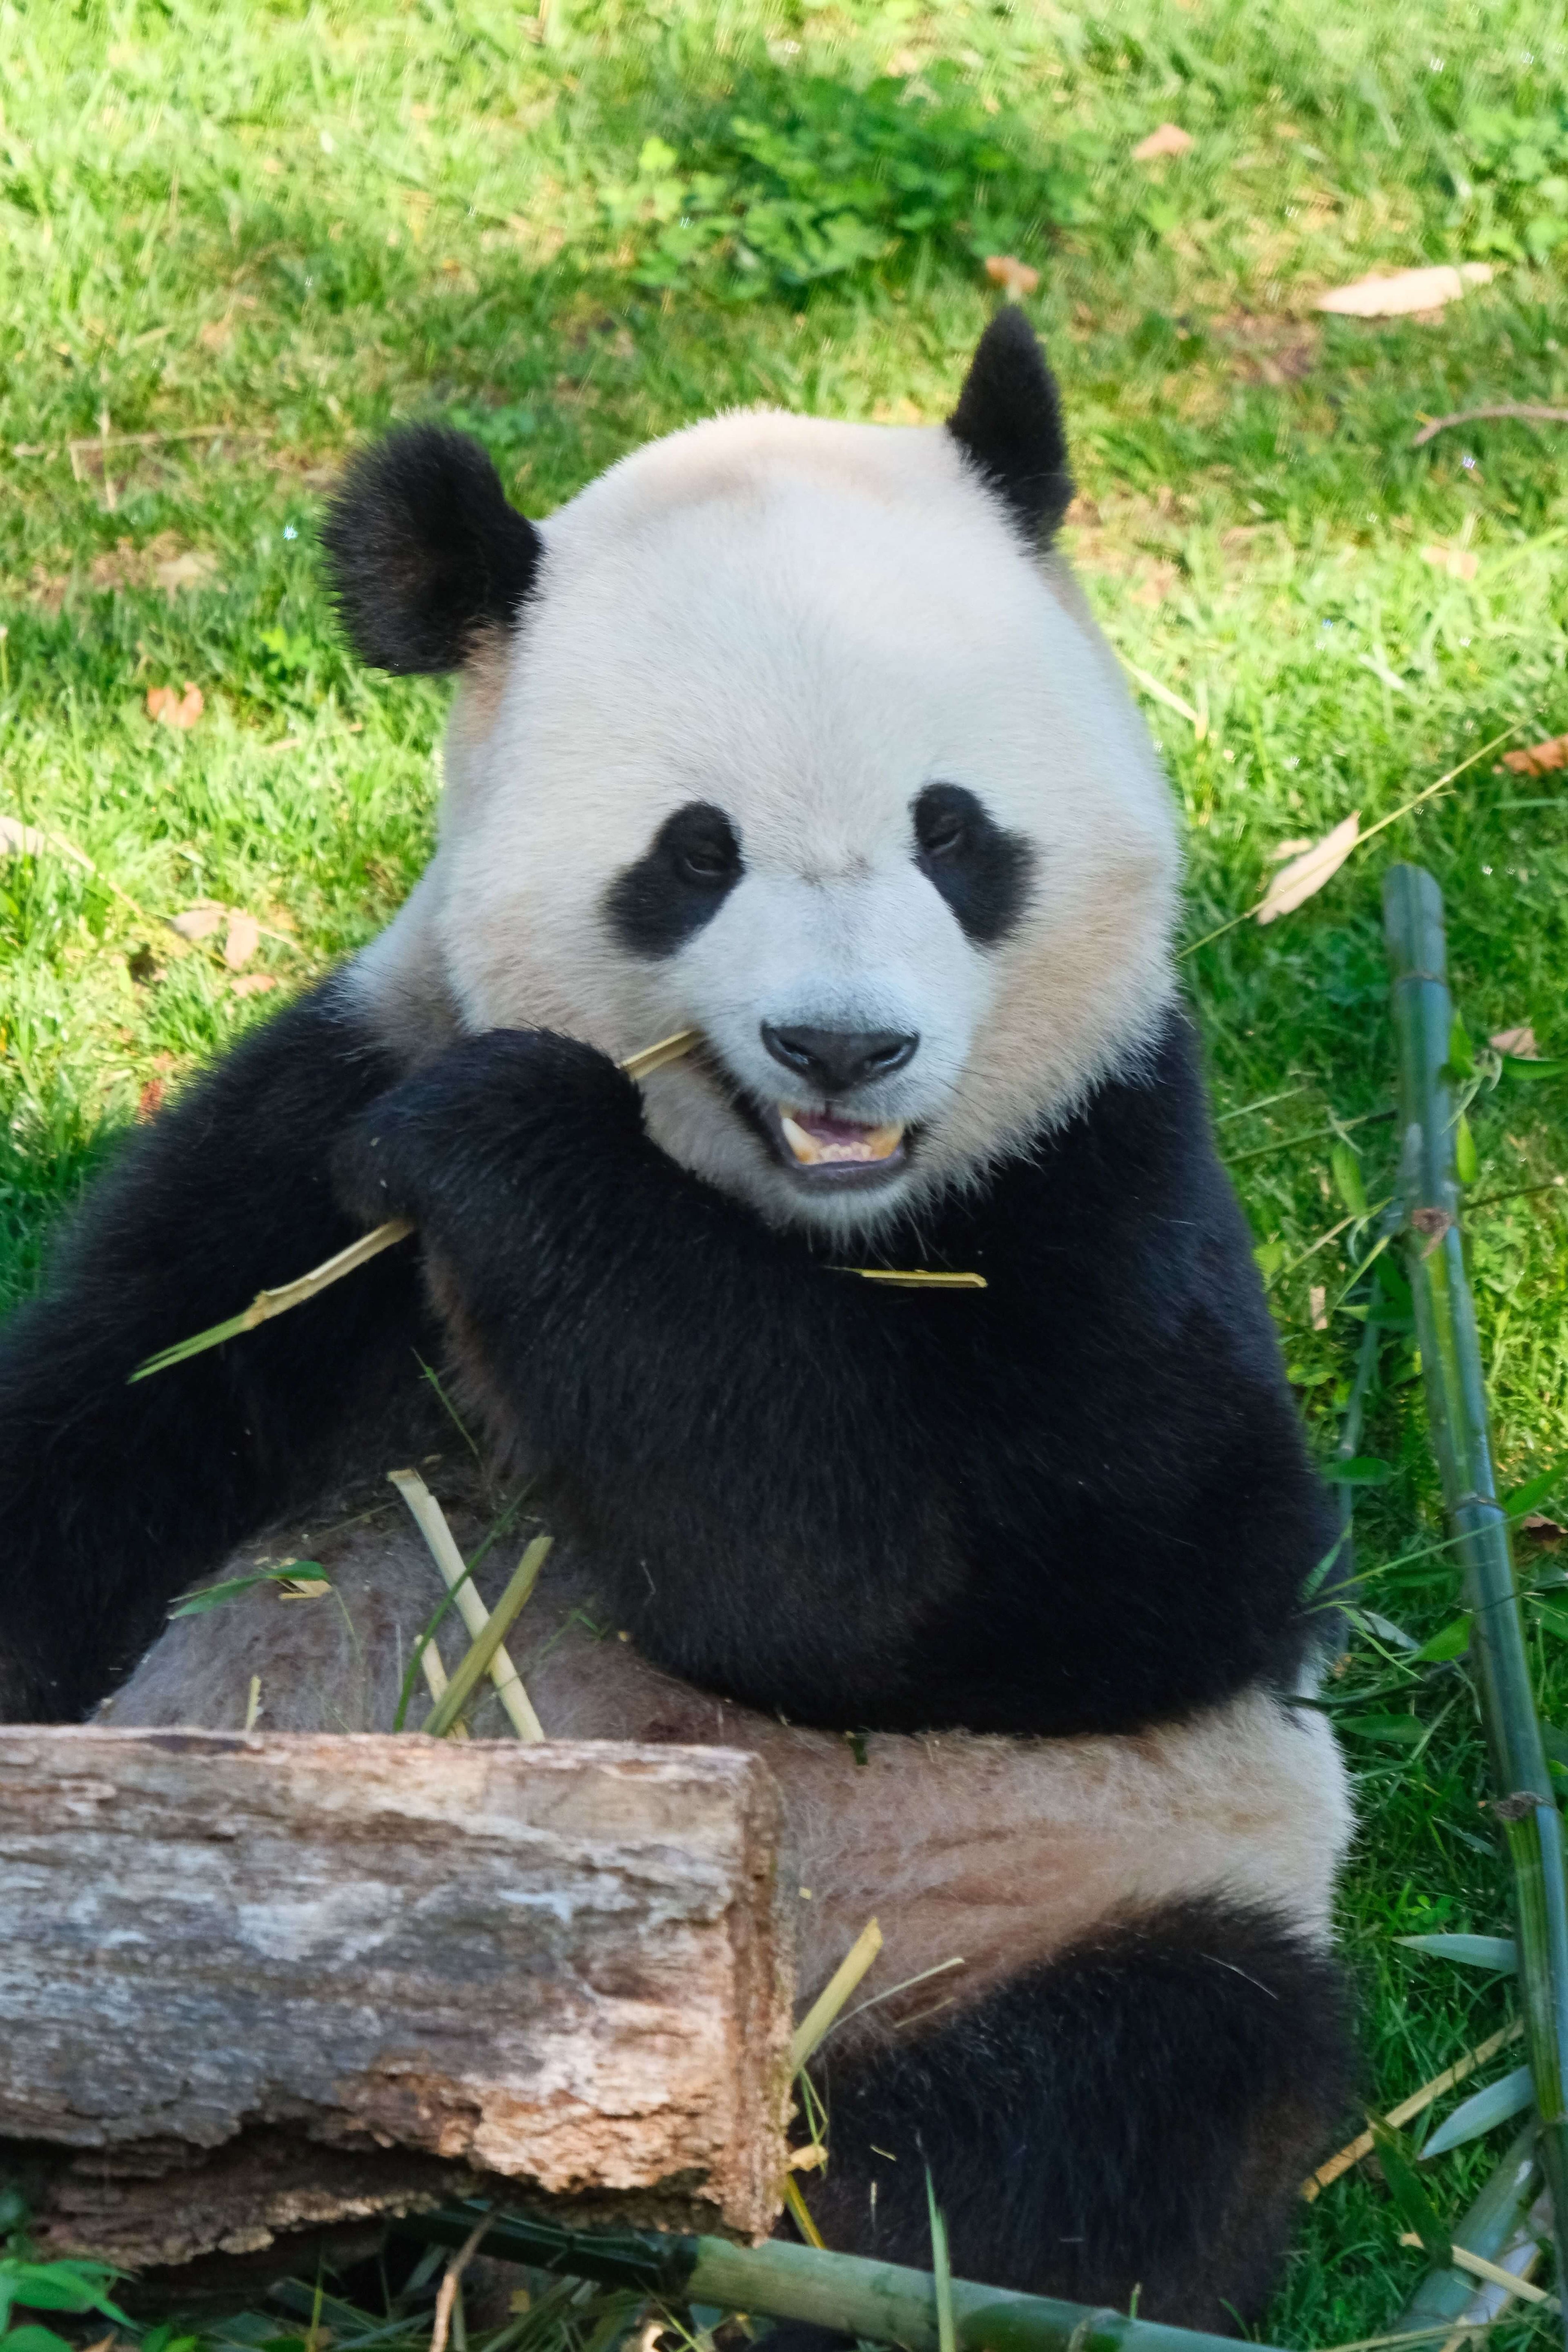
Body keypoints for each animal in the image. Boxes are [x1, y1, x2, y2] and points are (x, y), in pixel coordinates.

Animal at [0, 310, 1354, 2330]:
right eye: (694, 853)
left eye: (953, 833)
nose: (842, 1047)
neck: (794, 1216)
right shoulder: (314, 1126)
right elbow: (108, 1423)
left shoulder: (1107, 1171)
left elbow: (1068, 1566)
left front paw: (513, 1147)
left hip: (1100, 1881)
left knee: (1123, 2104)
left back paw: (677, 2245)